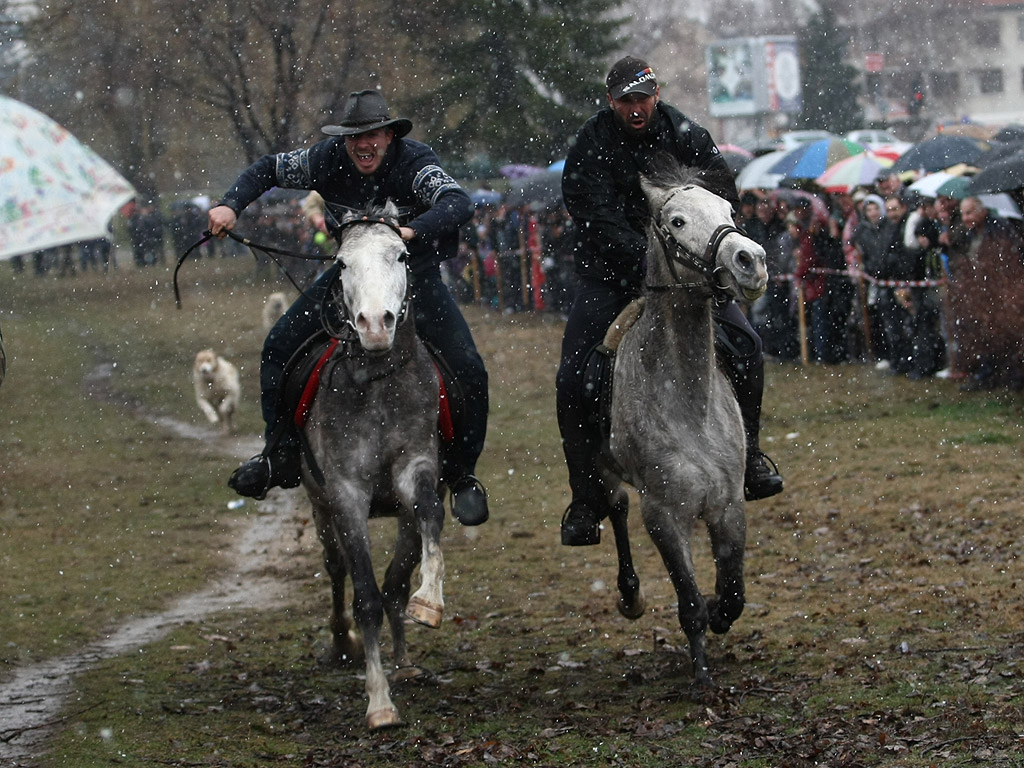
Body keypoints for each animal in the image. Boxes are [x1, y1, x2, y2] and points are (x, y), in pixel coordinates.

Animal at [299, 201, 446, 729]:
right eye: (341, 263)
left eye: (401, 255)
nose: (376, 325)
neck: (380, 384)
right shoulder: (346, 494)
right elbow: (364, 596)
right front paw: (379, 702)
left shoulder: (416, 469)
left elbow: (427, 522)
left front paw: (430, 602)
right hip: (319, 505)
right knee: (336, 569)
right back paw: (343, 643)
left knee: (396, 580)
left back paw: (404, 661)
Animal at [598, 166, 770, 684]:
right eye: (676, 221)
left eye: (729, 209)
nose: (751, 261)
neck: (689, 405)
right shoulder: (664, 516)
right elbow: (689, 601)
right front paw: (701, 672)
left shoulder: (728, 506)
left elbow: (733, 593)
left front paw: (719, 611)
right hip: (605, 472)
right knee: (613, 505)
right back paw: (629, 595)